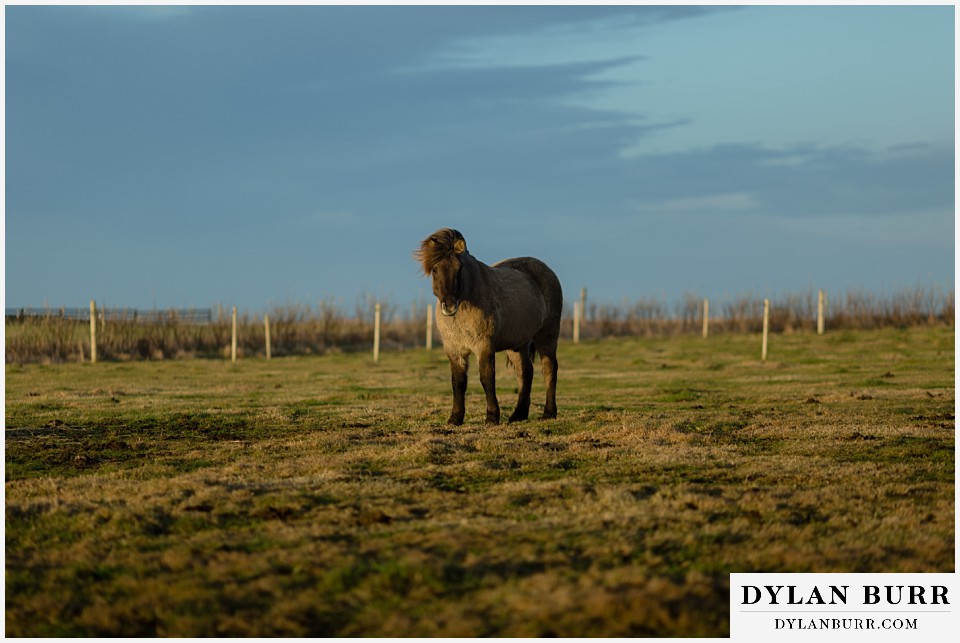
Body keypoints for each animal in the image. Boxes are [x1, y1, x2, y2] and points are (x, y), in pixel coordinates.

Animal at [414, 228, 563, 425]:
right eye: (435, 268)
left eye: (459, 268)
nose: (449, 306)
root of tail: (547, 271)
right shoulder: (454, 349)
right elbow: (458, 382)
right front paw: (455, 418)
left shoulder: (483, 345)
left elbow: (486, 378)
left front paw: (492, 416)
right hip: (517, 344)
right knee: (525, 372)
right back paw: (518, 414)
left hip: (547, 335)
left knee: (549, 369)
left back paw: (549, 413)